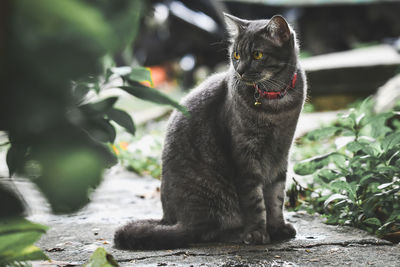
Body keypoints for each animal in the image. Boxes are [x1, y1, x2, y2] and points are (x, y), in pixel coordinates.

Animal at [114, 13, 308, 251]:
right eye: (236, 55)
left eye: (257, 54)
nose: (240, 70)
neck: (276, 102)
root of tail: (173, 221)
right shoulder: (244, 157)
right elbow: (255, 201)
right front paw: (257, 233)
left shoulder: (281, 153)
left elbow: (276, 196)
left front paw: (277, 227)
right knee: (204, 232)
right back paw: (237, 233)